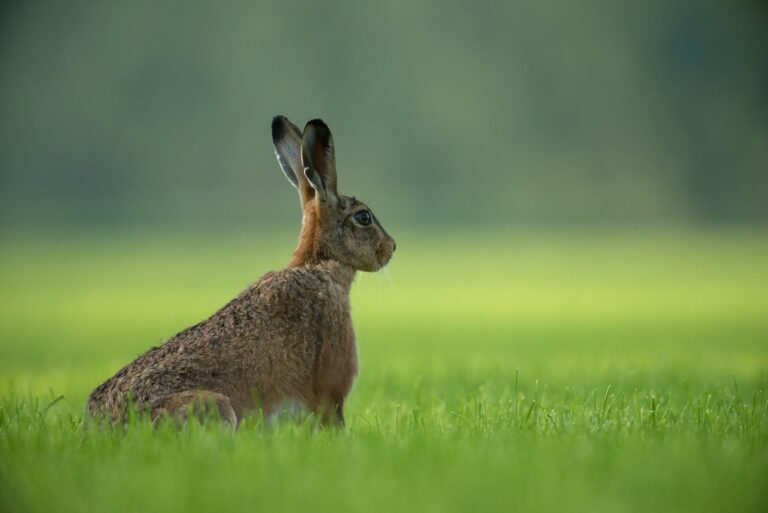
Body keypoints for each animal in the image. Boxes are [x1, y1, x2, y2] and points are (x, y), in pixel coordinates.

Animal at [87, 116, 396, 426]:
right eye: (364, 217)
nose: (392, 247)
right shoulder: (331, 390)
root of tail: (104, 424)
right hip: (217, 407)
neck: (320, 263)